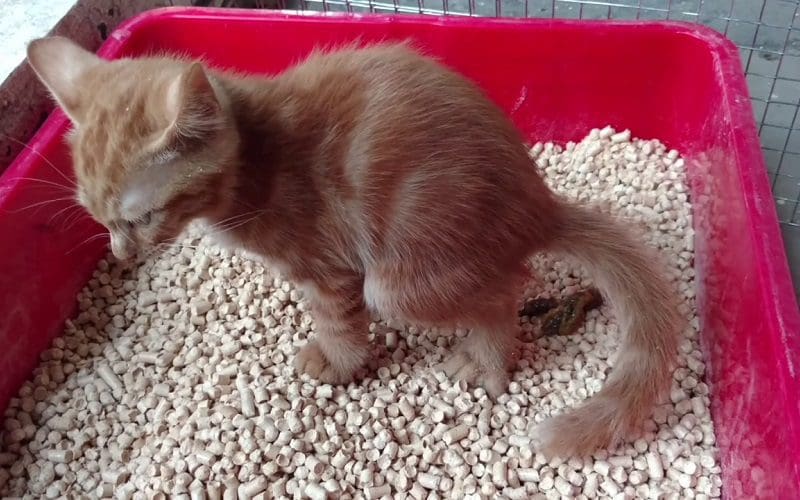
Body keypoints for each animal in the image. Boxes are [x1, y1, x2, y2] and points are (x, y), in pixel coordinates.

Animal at [26, 36, 680, 458]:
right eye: (99, 219)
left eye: (143, 216)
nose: (121, 254)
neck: (255, 163)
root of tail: (537, 206)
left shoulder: (329, 267)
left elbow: (338, 321)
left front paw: (335, 363)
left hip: (402, 278)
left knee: (500, 297)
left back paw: (486, 363)